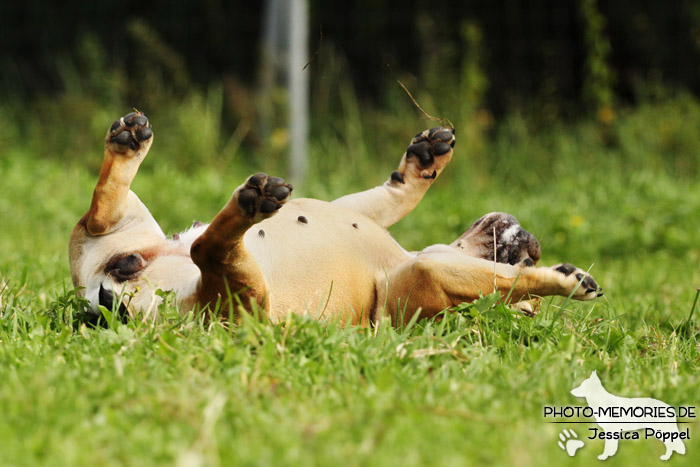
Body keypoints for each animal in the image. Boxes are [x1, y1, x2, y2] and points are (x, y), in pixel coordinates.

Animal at [68, 112, 600, 326]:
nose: (532, 246)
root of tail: (113, 301)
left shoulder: (427, 275)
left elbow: (507, 281)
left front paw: (558, 280)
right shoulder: (354, 208)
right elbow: (395, 196)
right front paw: (425, 159)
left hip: (240, 301)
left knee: (207, 249)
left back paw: (250, 203)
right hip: (130, 230)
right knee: (102, 214)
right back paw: (130, 142)